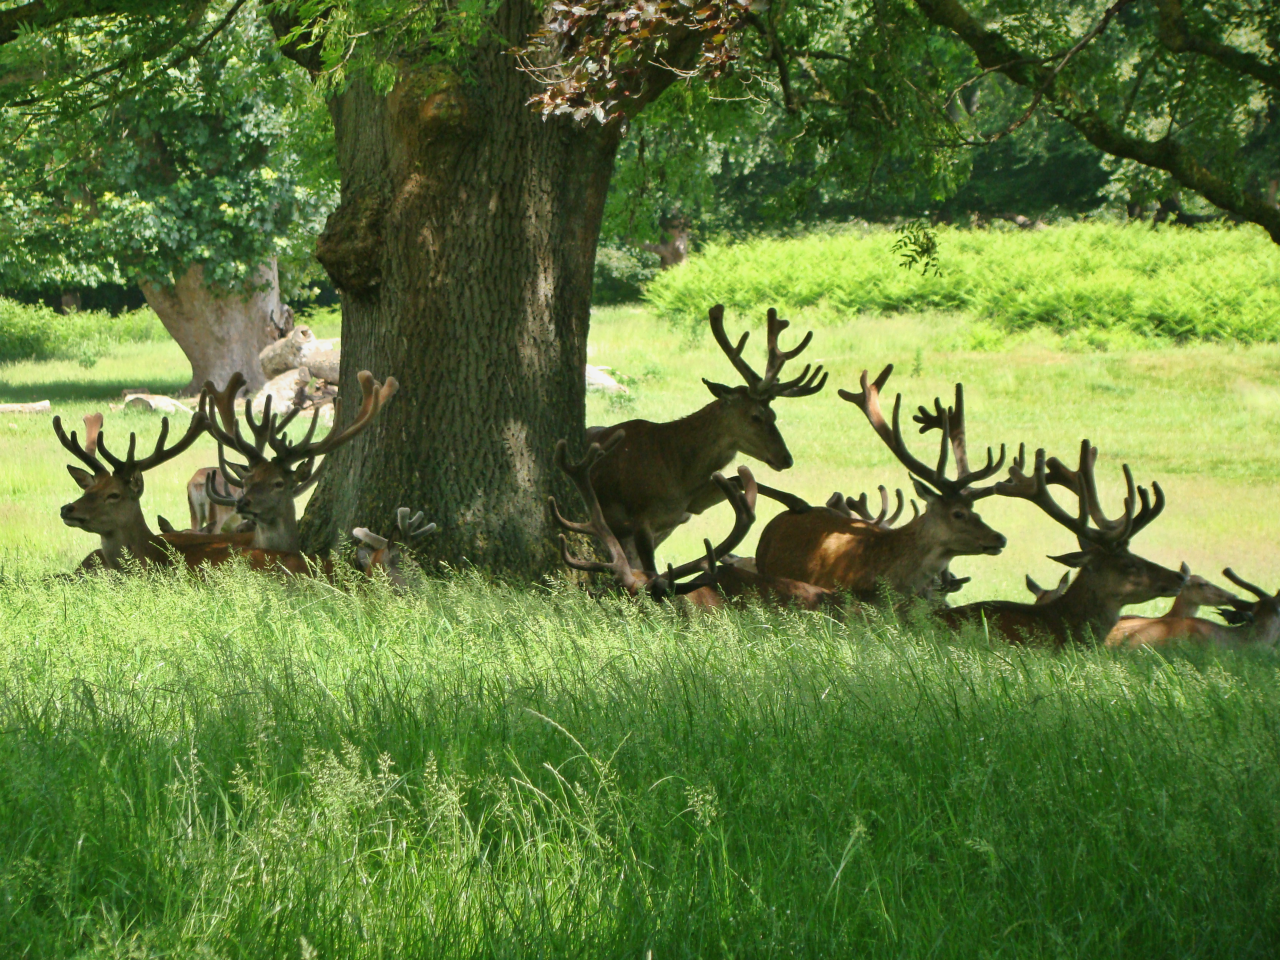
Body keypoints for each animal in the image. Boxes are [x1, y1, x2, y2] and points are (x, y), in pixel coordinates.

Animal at [583, 305, 824, 578]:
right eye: (756, 416)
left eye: (773, 414)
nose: (786, 458)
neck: (676, 473)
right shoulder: (639, 518)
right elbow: (652, 572)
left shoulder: (688, 506)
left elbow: (736, 478)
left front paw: (798, 502)